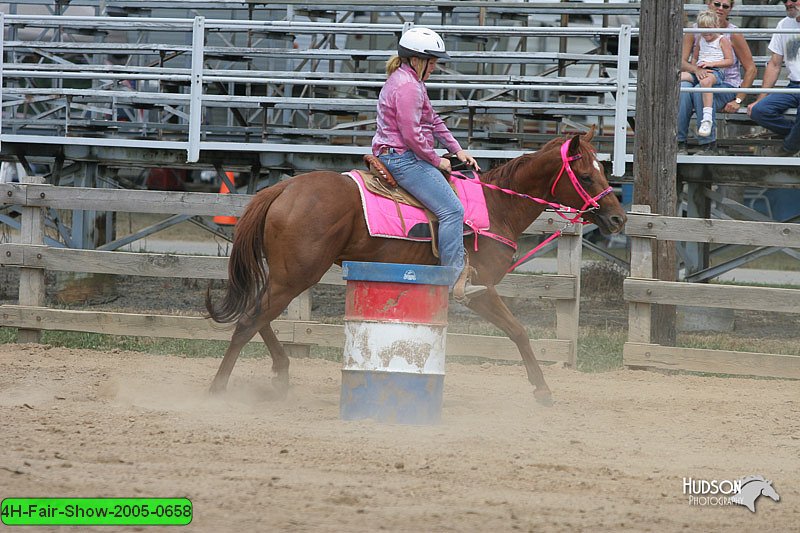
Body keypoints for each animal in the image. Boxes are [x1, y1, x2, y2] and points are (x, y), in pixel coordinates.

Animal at [205, 129, 624, 404]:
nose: (618, 219)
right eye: (586, 175)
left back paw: (280, 372)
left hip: (288, 275)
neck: (496, 207)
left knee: (258, 315)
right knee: (249, 320)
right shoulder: (478, 289)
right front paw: (542, 389)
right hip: (296, 275)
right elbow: (518, 331)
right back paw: (218, 388)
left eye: (603, 171)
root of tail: (283, 188)